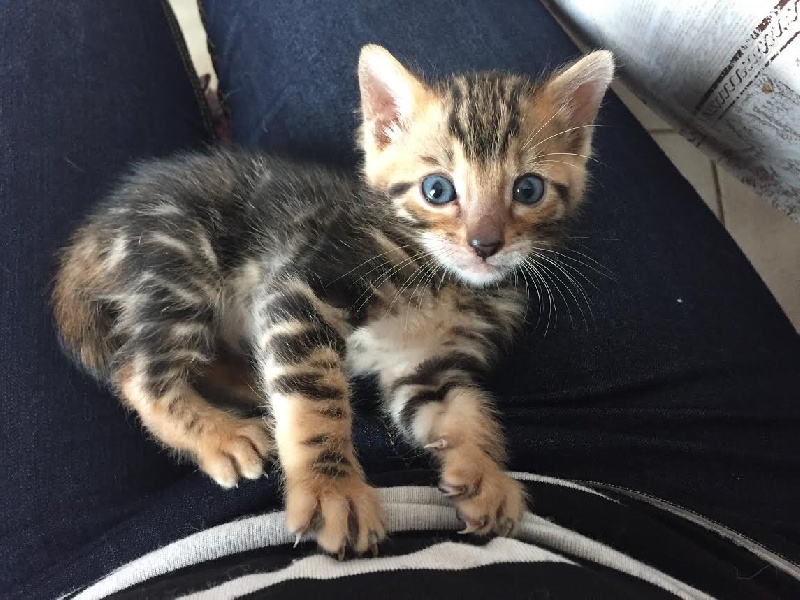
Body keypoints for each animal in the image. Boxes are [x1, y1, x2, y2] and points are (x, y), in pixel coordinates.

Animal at [51, 44, 612, 556]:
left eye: (528, 189)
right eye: (437, 189)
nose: (485, 244)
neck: (439, 278)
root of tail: (102, 225)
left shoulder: (425, 368)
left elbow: (461, 411)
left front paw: (483, 472)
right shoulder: (303, 289)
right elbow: (313, 398)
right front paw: (331, 488)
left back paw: (249, 384)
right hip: (182, 266)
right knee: (136, 372)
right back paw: (219, 436)